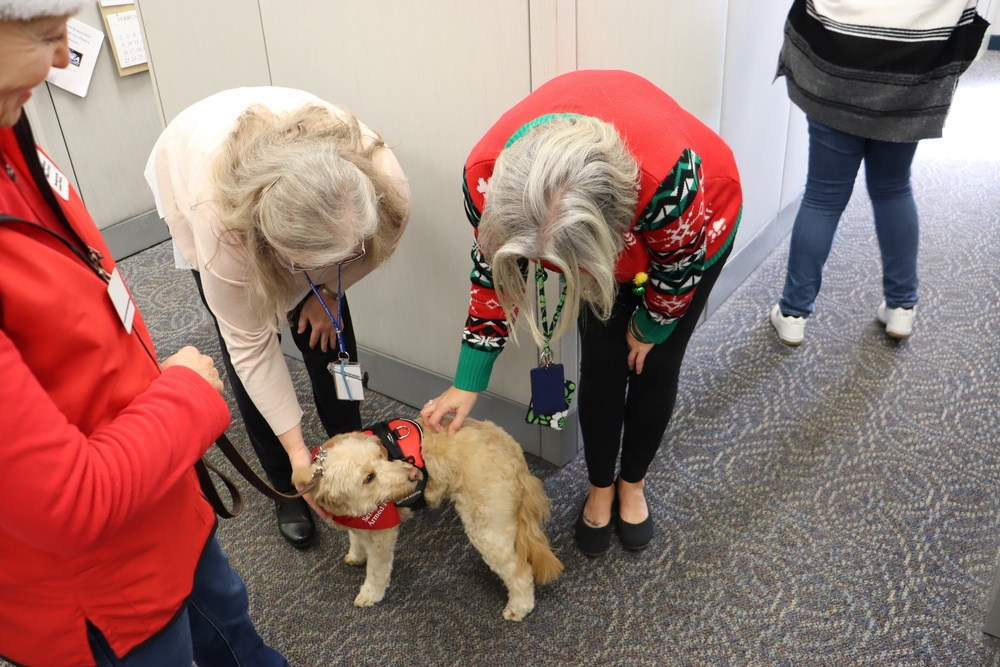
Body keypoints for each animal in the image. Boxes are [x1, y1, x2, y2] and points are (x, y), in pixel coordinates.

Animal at [294, 418, 564, 620]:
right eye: (369, 477)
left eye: (381, 457)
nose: (414, 474)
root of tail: (513, 451)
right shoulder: (358, 521)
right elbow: (356, 539)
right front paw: (356, 555)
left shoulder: (383, 533)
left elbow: (377, 572)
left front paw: (370, 594)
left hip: (487, 529)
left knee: (520, 572)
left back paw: (519, 607)